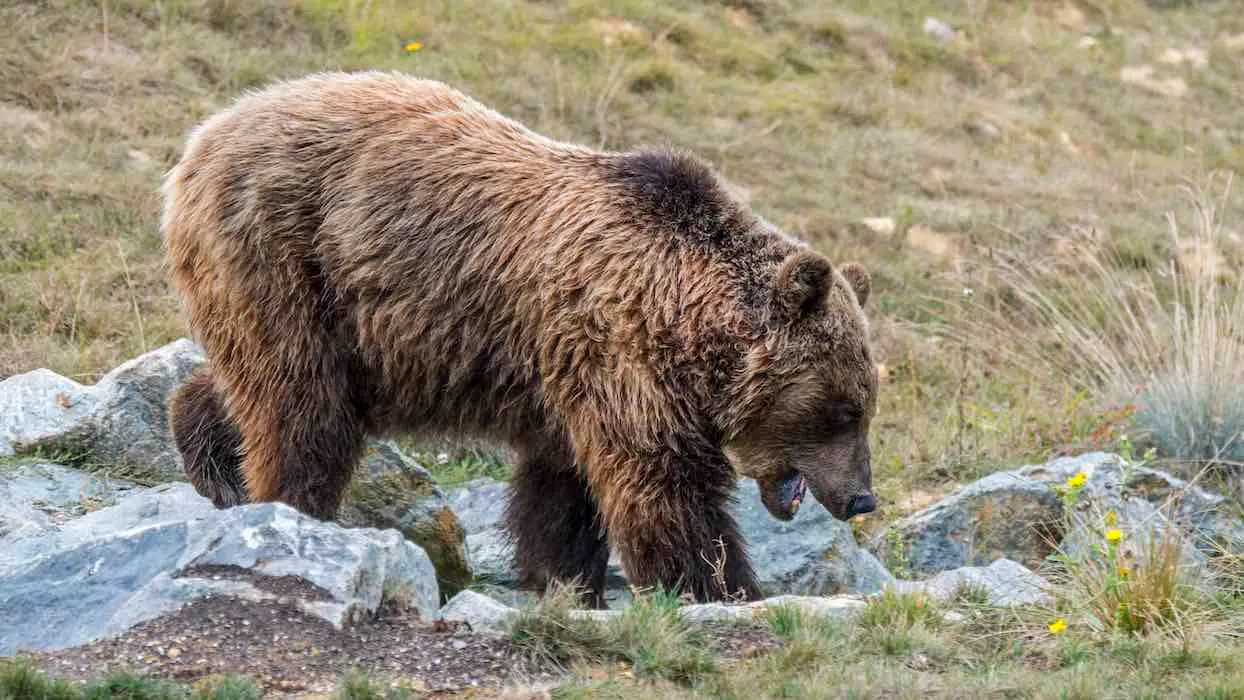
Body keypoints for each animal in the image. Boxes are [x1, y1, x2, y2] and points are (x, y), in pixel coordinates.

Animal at [165, 72, 880, 609]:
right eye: (845, 410)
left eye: (865, 407)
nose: (862, 497)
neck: (686, 317)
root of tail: (203, 136)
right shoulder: (618, 355)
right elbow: (664, 486)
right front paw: (722, 586)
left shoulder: (567, 376)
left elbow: (563, 490)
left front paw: (567, 581)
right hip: (285, 253)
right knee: (301, 404)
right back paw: (290, 505)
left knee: (256, 384)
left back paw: (212, 458)